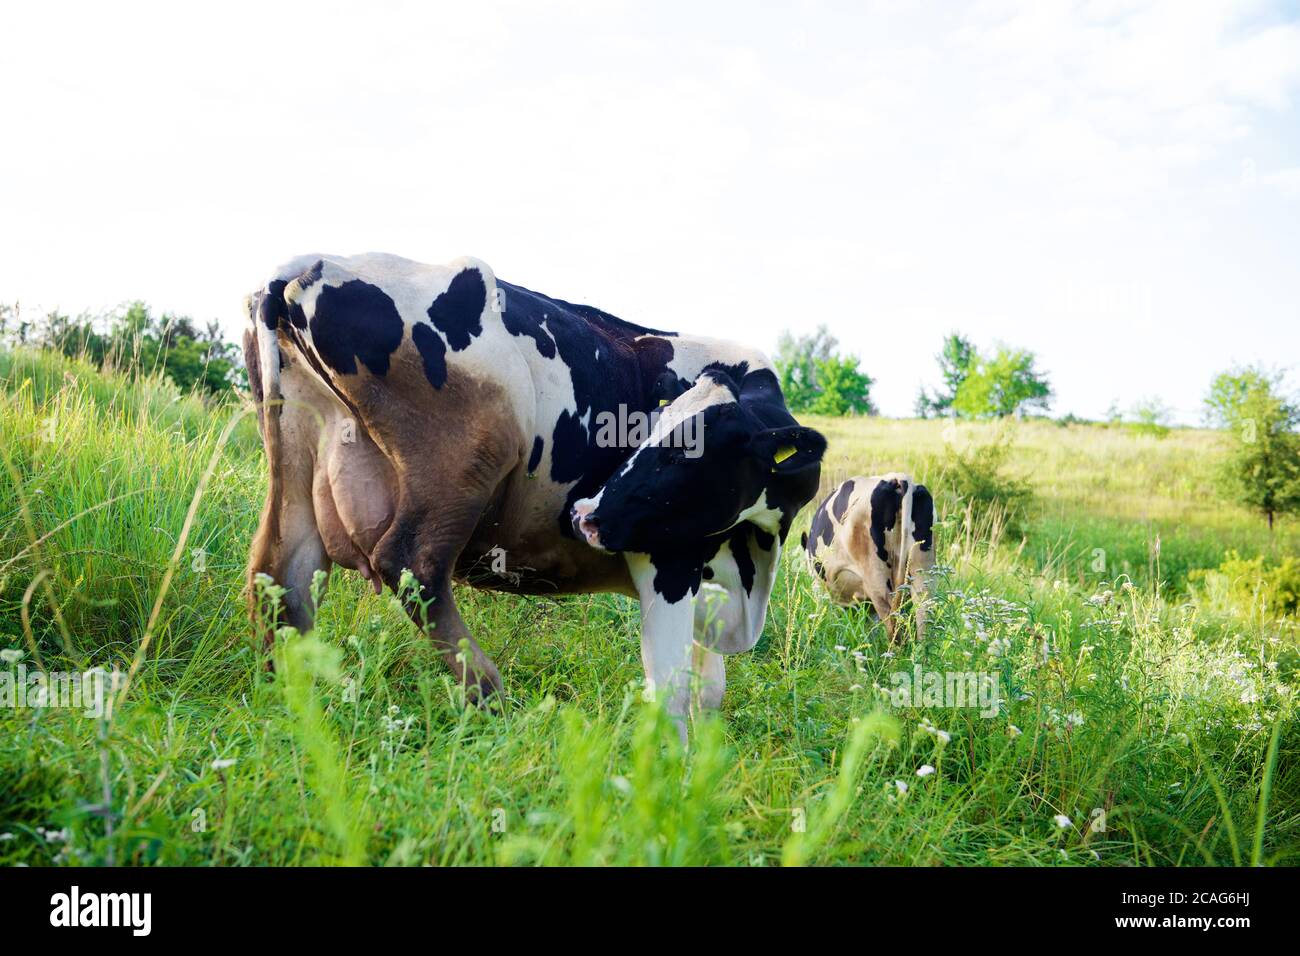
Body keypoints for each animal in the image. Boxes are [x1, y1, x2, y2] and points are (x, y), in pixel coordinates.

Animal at [243, 252, 826, 733]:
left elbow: (710, 692)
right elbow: (673, 692)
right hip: (467, 462)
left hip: (297, 458)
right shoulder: (666, 559)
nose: (586, 515)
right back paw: (493, 698)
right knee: (411, 563)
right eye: (650, 431)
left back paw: (290, 697)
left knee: (281, 574)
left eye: (686, 448)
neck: (754, 560)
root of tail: (313, 263)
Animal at [802, 473, 935, 641]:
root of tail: (898, 479)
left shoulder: (819, 587)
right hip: (922, 569)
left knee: (891, 617)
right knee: (923, 610)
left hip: (876, 578)